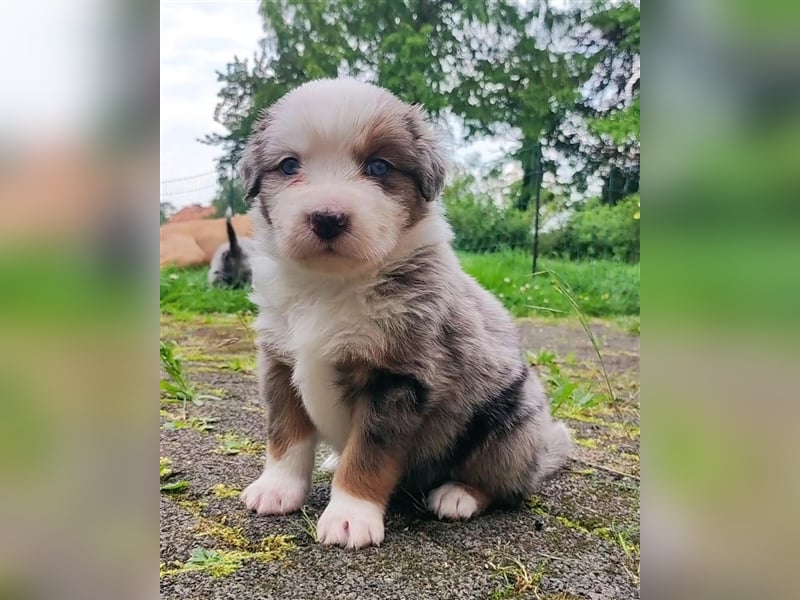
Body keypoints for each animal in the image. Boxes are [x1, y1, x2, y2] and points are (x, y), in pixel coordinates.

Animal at [239, 78, 576, 548]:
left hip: (512, 423)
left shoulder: (398, 378)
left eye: (379, 167)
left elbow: (368, 455)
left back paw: (458, 495)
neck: (331, 285)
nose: (327, 218)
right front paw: (276, 489)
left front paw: (349, 517)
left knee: (505, 482)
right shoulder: (280, 361)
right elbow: (286, 435)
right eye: (289, 166)